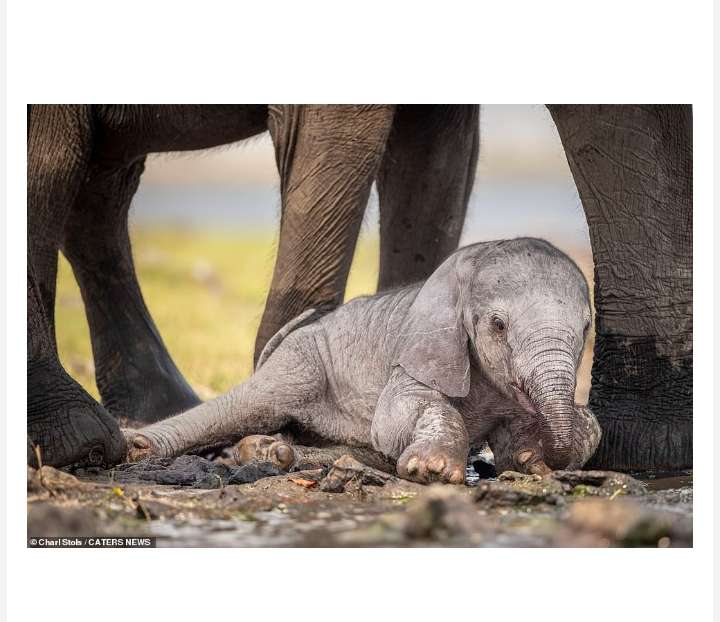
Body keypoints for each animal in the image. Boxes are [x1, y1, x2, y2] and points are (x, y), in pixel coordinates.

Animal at [124, 238, 602, 483]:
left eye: (586, 329)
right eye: (498, 325)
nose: (549, 456)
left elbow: (553, 428)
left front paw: (532, 460)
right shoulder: (417, 354)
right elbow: (401, 413)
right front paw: (431, 472)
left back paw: (274, 453)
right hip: (303, 362)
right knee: (251, 404)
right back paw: (139, 447)